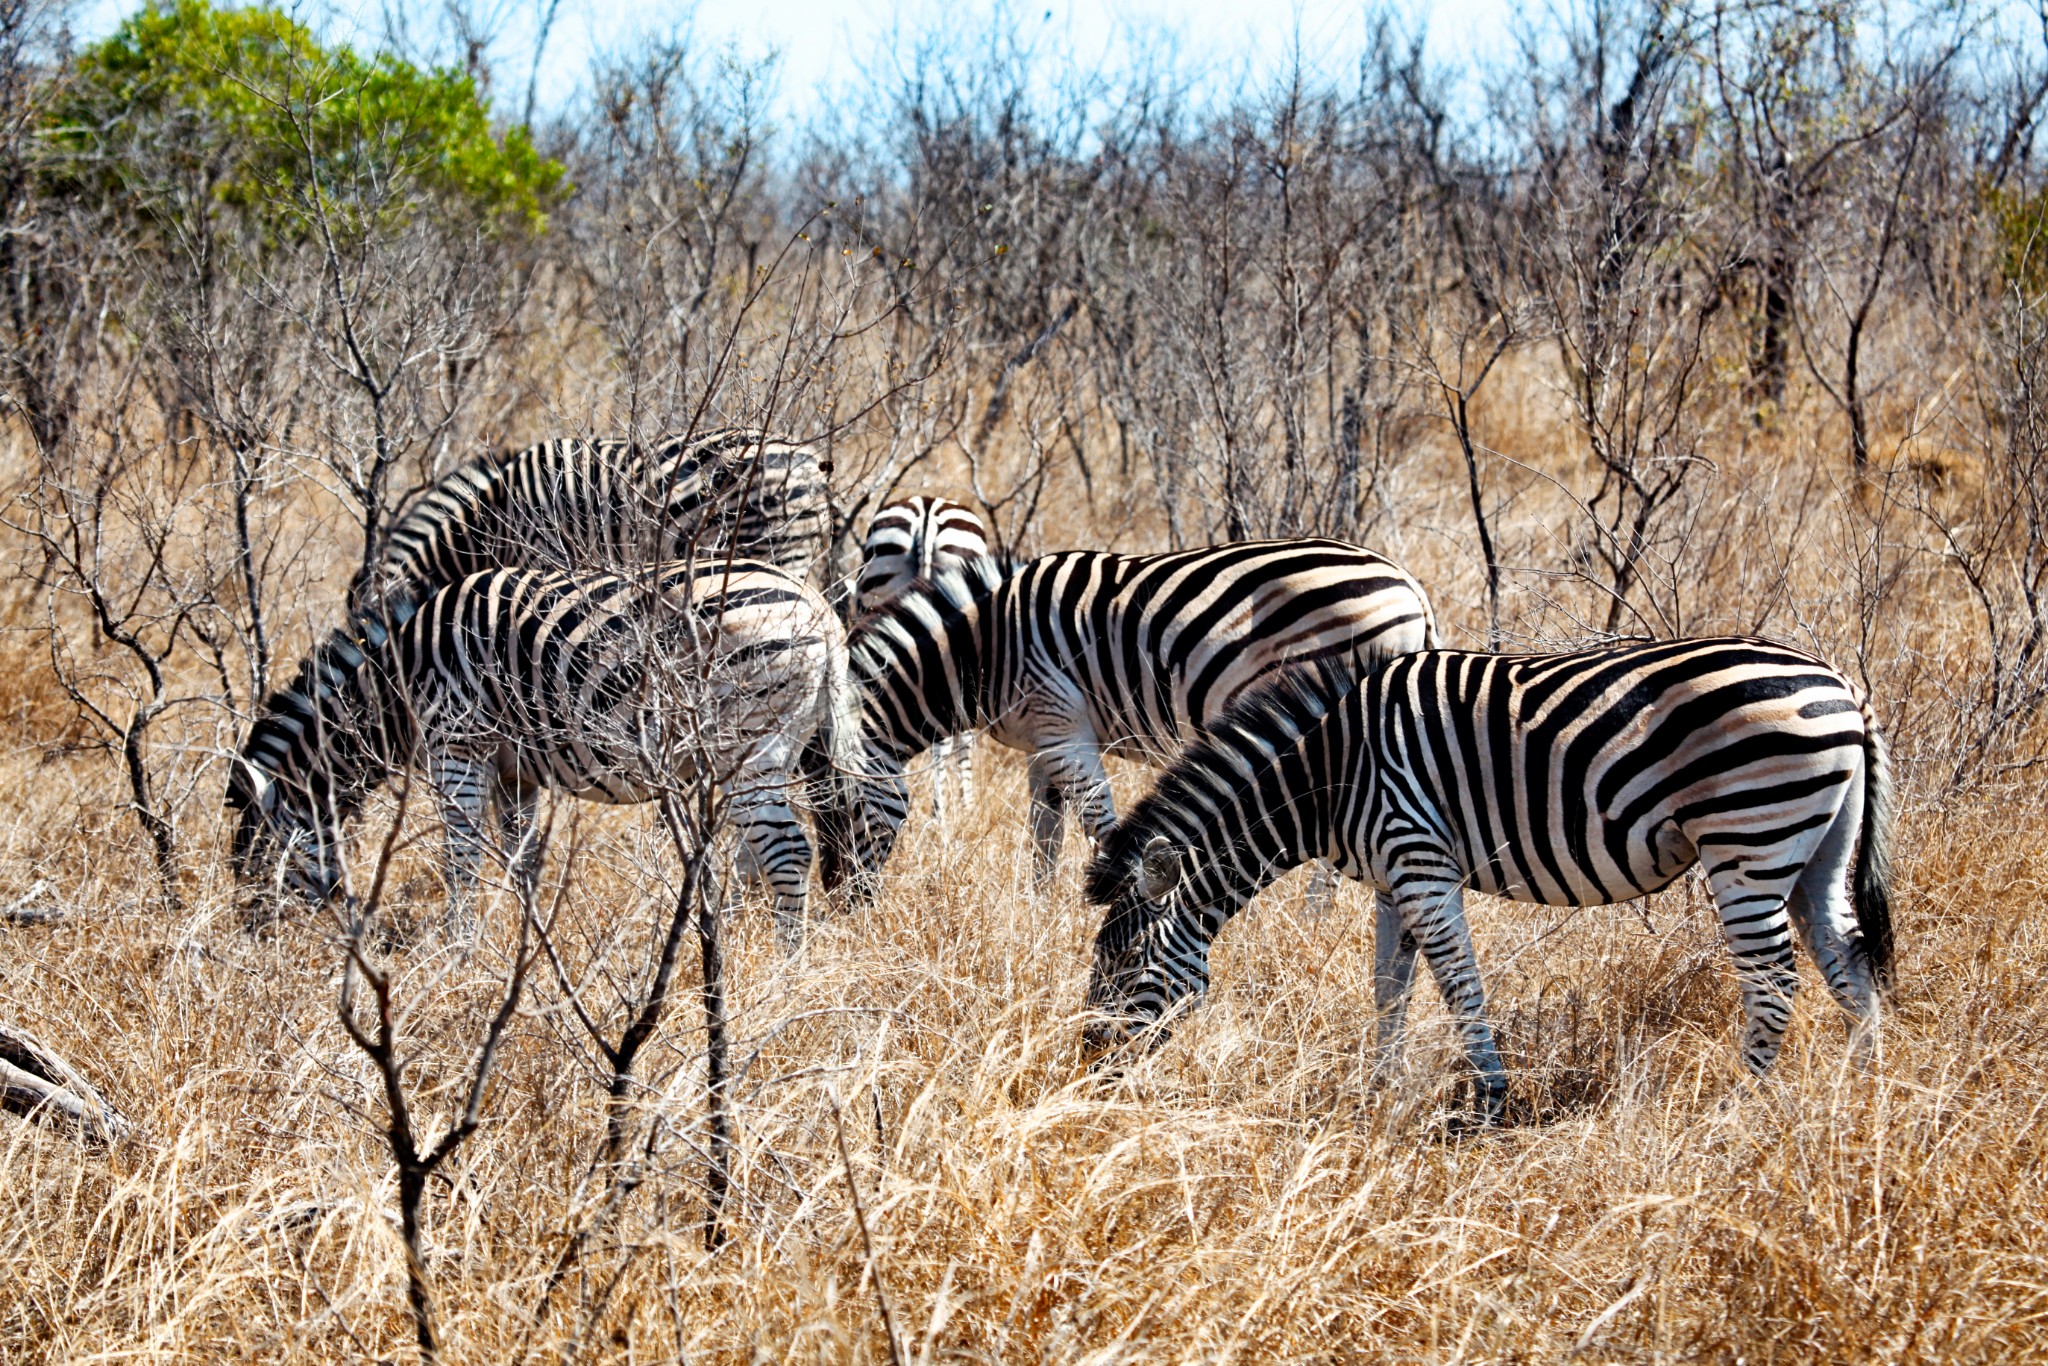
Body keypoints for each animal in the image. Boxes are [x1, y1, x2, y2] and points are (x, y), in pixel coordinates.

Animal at [232, 552, 856, 942]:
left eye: (259, 864)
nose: (250, 939)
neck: (397, 680)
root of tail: (820, 611)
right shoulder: (516, 771)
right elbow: (521, 860)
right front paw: (528, 947)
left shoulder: (457, 746)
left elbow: (461, 861)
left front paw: (458, 954)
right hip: (776, 746)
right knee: (756, 855)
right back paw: (721, 939)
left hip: (747, 744)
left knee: (786, 853)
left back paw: (783, 966)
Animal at [819, 540, 1441, 901]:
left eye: (841, 810)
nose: (838, 904)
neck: (985, 648)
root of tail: (1410, 585)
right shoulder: (1045, 741)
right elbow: (1043, 836)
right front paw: (1038, 913)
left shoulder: (1063, 726)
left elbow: (1099, 826)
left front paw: (1112, 896)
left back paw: (1313, 918)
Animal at [1081, 643, 1892, 1122]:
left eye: (1126, 964)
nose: (1089, 1073)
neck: (1331, 774)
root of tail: (1844, 687)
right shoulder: (1391, 878)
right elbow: (1390, 986)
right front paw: (1376, 1093)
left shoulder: (1419, 856)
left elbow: (1457, 982)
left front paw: (1489, 1100)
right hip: (1816, 850)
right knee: (1847, 961)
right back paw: (1868, 1094)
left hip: (1747, 838)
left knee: (1775, 983)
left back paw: (1738, 1110)